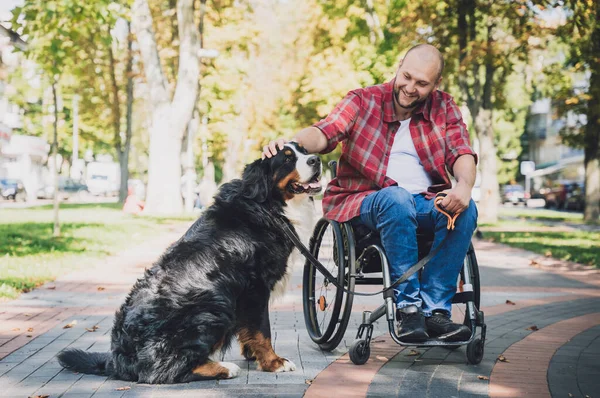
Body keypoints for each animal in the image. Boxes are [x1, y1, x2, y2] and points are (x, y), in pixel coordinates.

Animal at [57, 143, 324, 382]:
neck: (266, 205)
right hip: (215, 307)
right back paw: (224, 368)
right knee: (161, 372)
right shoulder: (255, 288)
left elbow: (249, 330)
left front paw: (252, 354)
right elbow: (262, 331)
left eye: (303, 150)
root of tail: (117, 358)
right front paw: (273, 362)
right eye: (287, 158)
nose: (316, 160)